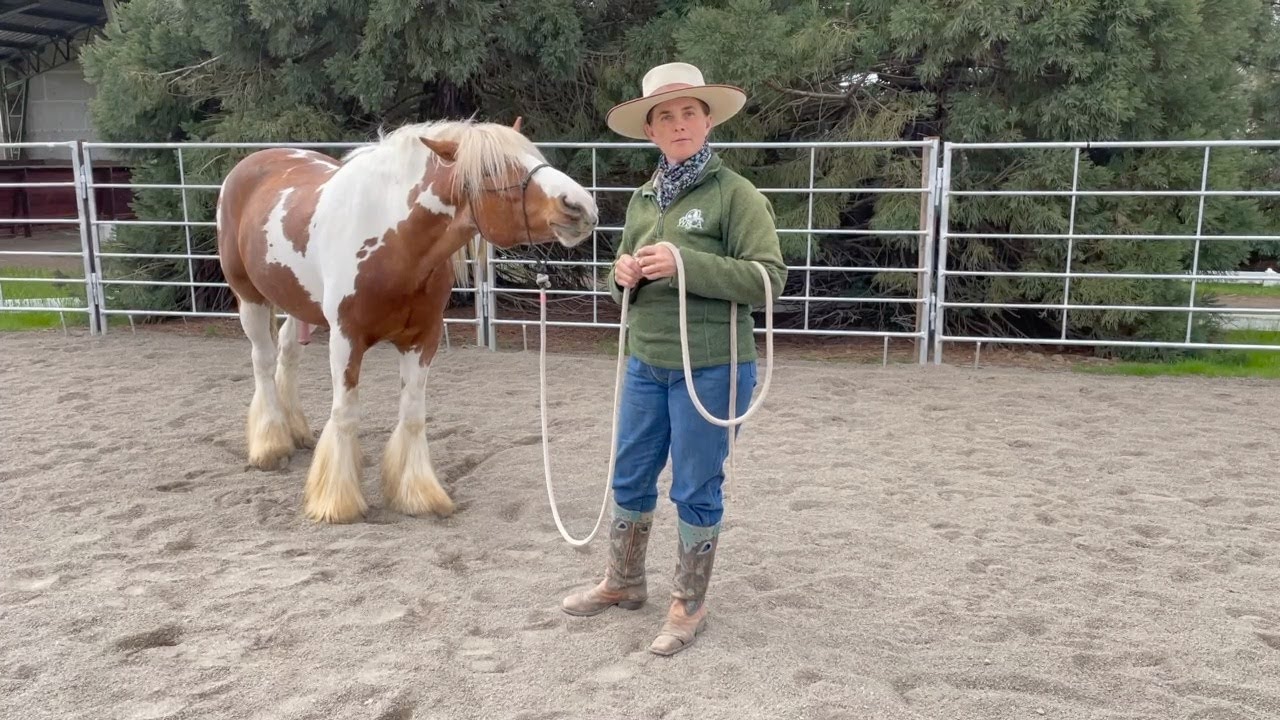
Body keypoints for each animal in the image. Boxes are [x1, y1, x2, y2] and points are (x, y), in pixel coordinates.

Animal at [215, 118, 598, 524]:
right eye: (491, 170)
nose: (580, 205)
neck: (393, 241)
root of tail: (251, 164)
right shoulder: (346, 339)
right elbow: (345, 413)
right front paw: (338, 501)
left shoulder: (422, 339)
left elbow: (413, 415)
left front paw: (418, 494)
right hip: (250, 298)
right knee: (263, 361)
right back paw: (271, 445)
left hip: (300, 302)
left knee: (288, 353)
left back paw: (296, 431)